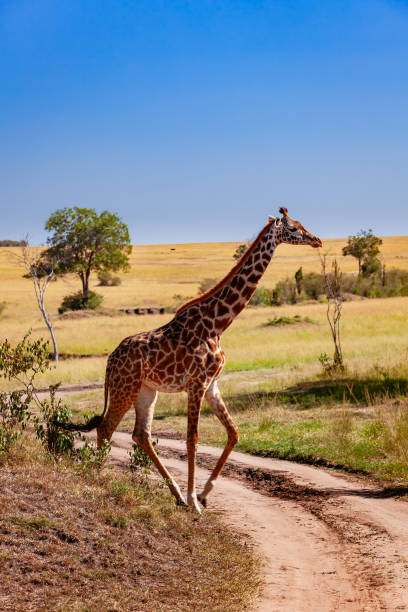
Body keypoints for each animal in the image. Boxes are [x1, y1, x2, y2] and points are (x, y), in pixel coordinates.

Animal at [67, 208, 322, 512]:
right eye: (293, 228)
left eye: (302, 224)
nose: (317, 240)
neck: (218, 324)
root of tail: (109, 361)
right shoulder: (196, 383)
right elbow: (193, 440)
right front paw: (195, 501)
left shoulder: (212, 385)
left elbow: (234, 432)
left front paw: (203, 494)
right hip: (124, 387)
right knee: (106, 427)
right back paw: (99, 478)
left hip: (146, 391)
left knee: (140, 434)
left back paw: (175, 494)